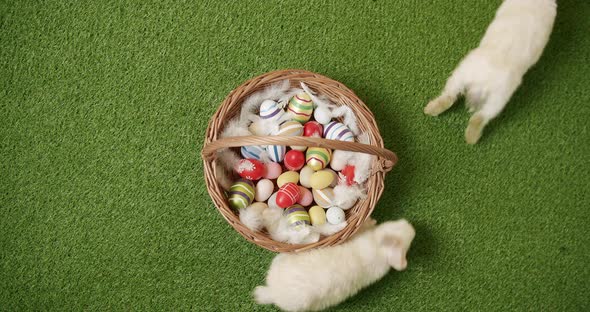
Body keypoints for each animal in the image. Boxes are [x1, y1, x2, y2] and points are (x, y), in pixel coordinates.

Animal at [428, 0, 556, 144]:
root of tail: (482, 82)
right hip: (497, 94)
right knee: (480, 115)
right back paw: (471, 137)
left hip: (466, 76)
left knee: (453, 98)